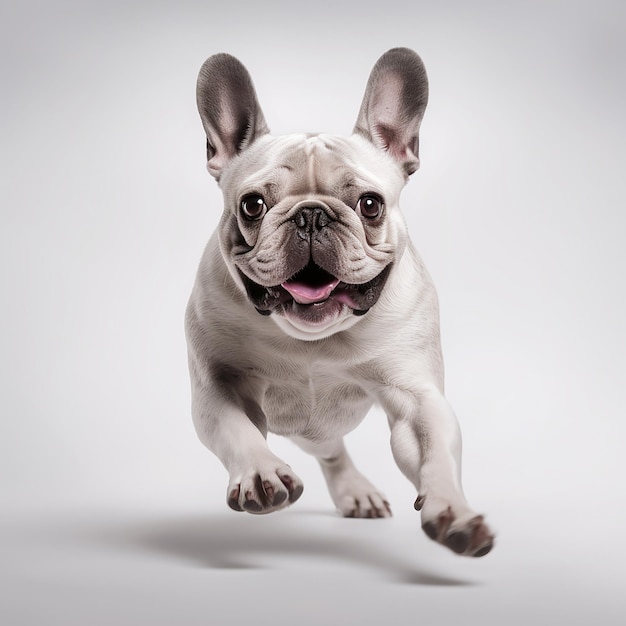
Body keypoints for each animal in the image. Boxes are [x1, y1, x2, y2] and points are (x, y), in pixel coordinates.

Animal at [185, 48, 492, 556]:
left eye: (370, 204)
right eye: (252, 205)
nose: (311, 215)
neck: (313, 340)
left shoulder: (416, 398)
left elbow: (435, 453)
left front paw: (454, 510)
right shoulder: (217, 385)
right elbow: (237, 431)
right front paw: (260, 472)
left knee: (331, 451)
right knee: (328, 451)